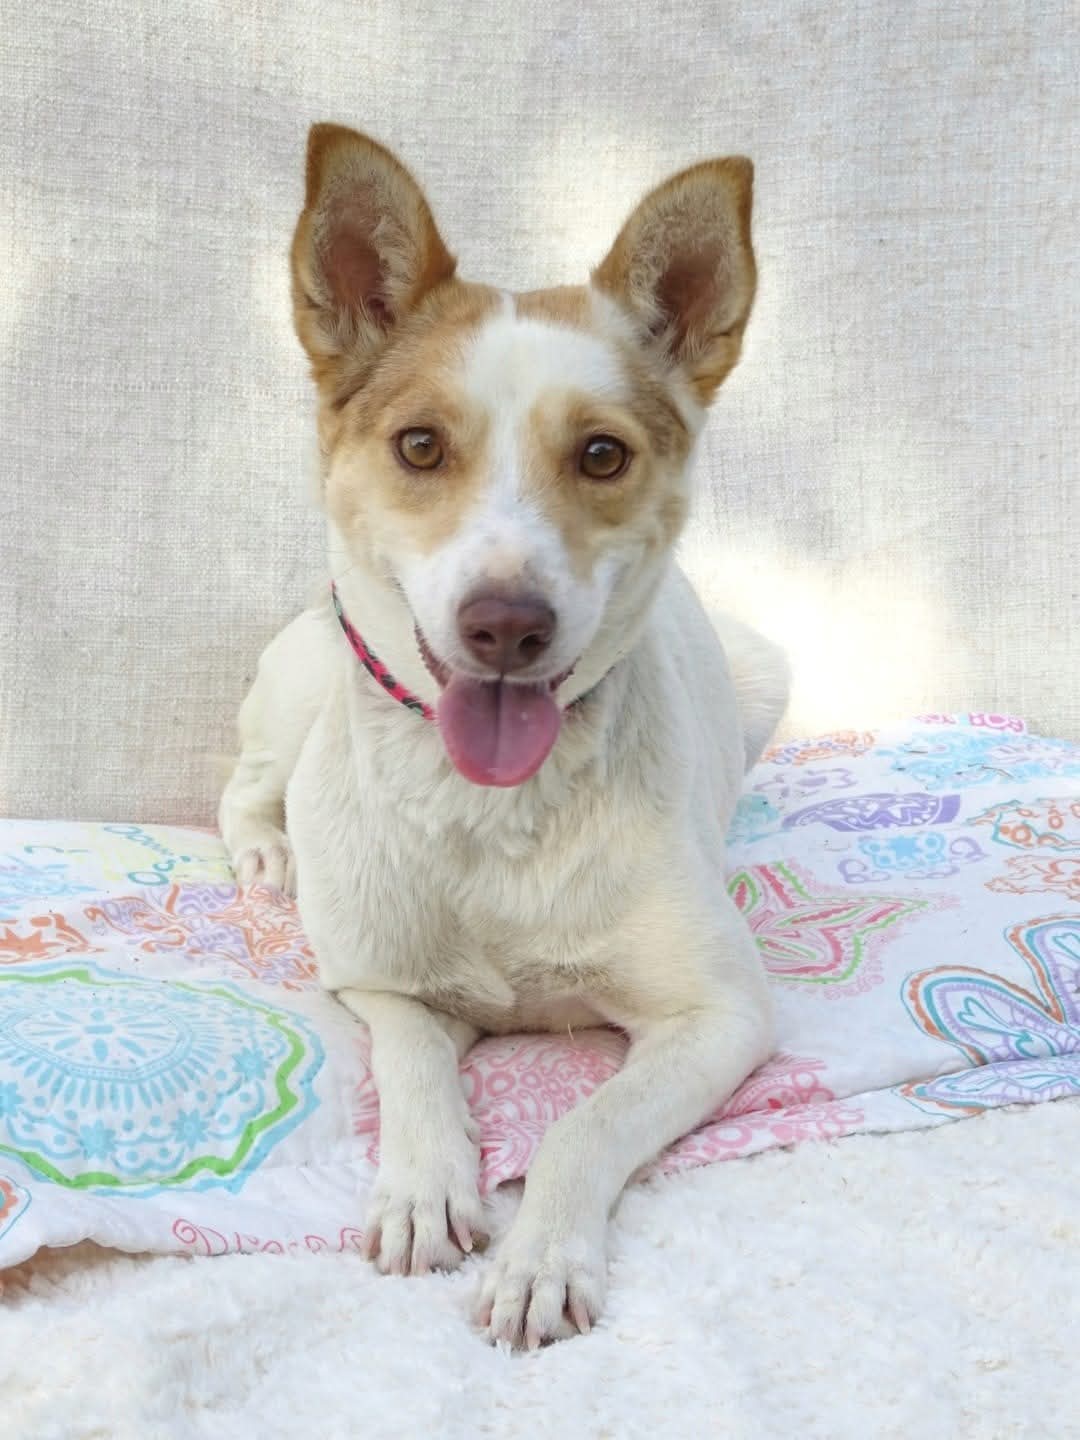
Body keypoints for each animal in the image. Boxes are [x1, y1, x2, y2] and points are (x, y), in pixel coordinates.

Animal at [219, 123, 789, 1349]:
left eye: (603, 456)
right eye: (420, 445)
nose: (507, 626)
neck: (494, 810)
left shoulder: (721, 1016)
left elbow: (584, 1125)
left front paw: (539, 1257)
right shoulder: (377, 980)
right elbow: (415, 1067)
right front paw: (424, 1187)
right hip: (305, 679)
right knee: (247, 781)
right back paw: (268, 849)